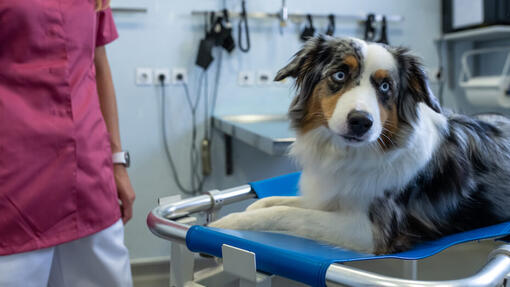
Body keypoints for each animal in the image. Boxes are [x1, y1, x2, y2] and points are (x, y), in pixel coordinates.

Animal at [209, 35, 510, 254]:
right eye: (340, 75)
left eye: (385, 86)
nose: (360, 122)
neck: (351, 154)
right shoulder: (330, 197)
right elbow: (279, 202)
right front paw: (253, 208)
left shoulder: (370, 231)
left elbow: (288, 214)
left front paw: (229, 222)